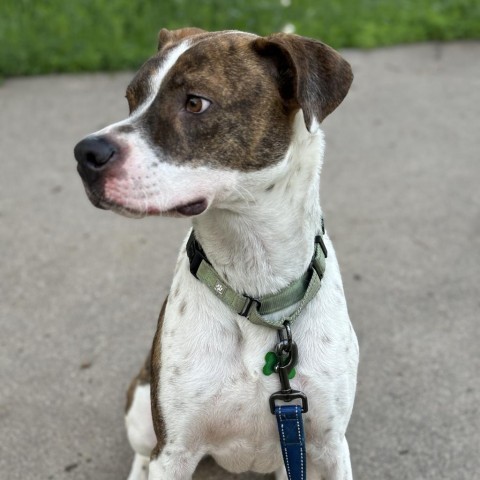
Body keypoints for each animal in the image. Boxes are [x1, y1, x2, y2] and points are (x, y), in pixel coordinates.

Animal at [74, 27, 360, 480]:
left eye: (196, 102)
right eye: (132, 98)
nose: (86, 154)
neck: (256, 282)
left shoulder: (329, 447)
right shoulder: (173, 451)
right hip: (141, 408)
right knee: (140, 453)